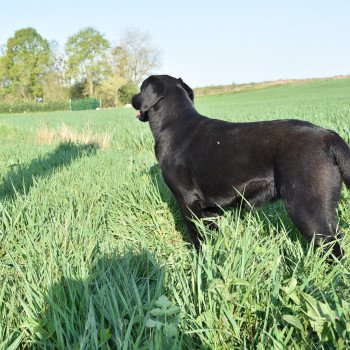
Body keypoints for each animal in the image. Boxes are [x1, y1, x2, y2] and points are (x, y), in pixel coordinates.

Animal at [132, 75, 350, 258]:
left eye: (141, 88)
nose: (132, 97)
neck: (174, 126)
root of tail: (329, 136)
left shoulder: (187, 201)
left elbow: (196, 236)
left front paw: (198, 262)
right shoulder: (210, 208)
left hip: (308, 209)